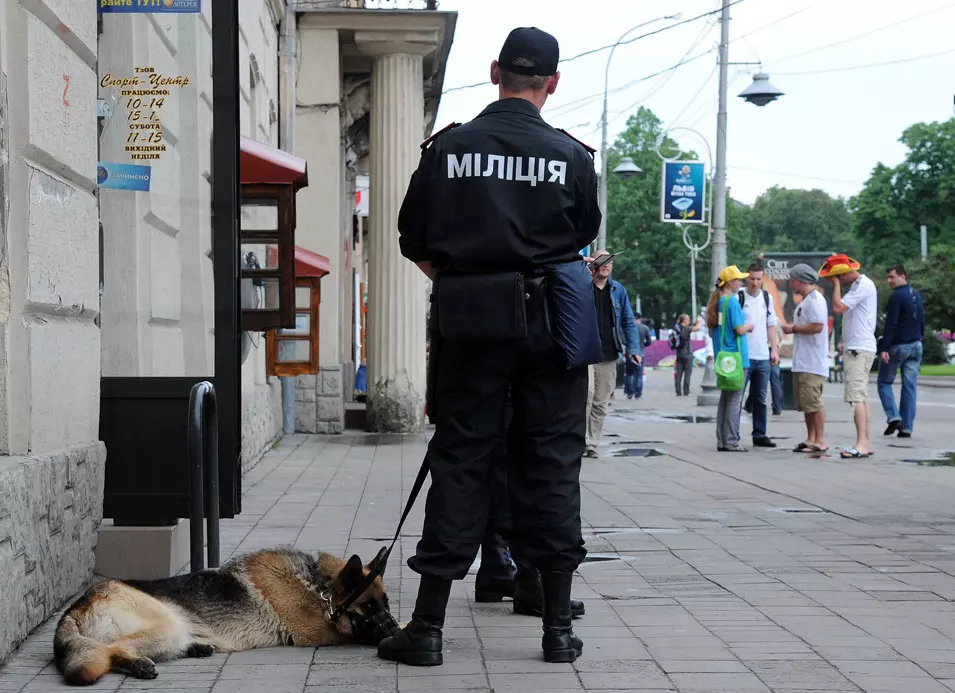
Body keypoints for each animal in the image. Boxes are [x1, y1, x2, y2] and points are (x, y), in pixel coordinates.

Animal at [55, 548, 392, 688]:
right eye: (369, 607)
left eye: (386, 603)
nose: (389, 627)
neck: (319, 587)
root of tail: (76, 606)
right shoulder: (319, 633)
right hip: (166, 625)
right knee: (110, 650)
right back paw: (138, 664)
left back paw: (197, 647)